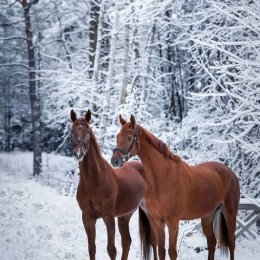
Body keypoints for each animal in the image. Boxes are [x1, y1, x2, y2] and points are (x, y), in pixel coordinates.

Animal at [69, 109, 156, 260]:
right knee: (127, 241)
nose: (79, 153)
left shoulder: (108, 217)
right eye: (72, 131)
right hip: (124, 216)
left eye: (88, 132)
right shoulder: (88, 218)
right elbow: (92, 248)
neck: (94, 181)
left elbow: (111, 250)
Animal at [110, 115, 241, 260]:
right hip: (207, 215)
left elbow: (172, 252)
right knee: (212, 242)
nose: (114, 161)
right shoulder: (157, 222)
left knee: (231, 242)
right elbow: (161, 250)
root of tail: (230, 173)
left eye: (128, 137)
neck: (163, 178)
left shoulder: (173, 222)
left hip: (230, 213)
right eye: (117, 136)